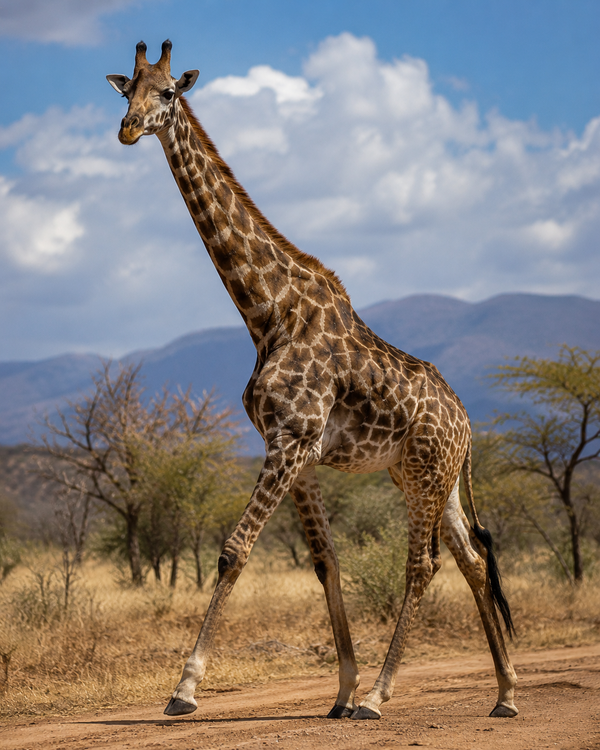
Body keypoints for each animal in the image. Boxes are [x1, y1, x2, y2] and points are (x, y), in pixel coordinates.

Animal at [107, 40, 518, 721]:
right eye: (125, 89)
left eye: (167, 92)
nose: (129, 128)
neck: (266, 313)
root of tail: (467, 423)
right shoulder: (293, 450)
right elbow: (326, 560)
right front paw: (342, 687)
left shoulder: (292, 441)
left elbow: (233, 551)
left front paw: (185, 688)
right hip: (428, 478)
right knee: (474, 560)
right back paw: (506, 692)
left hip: (425, 475)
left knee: (423, 565)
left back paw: (381, 696)